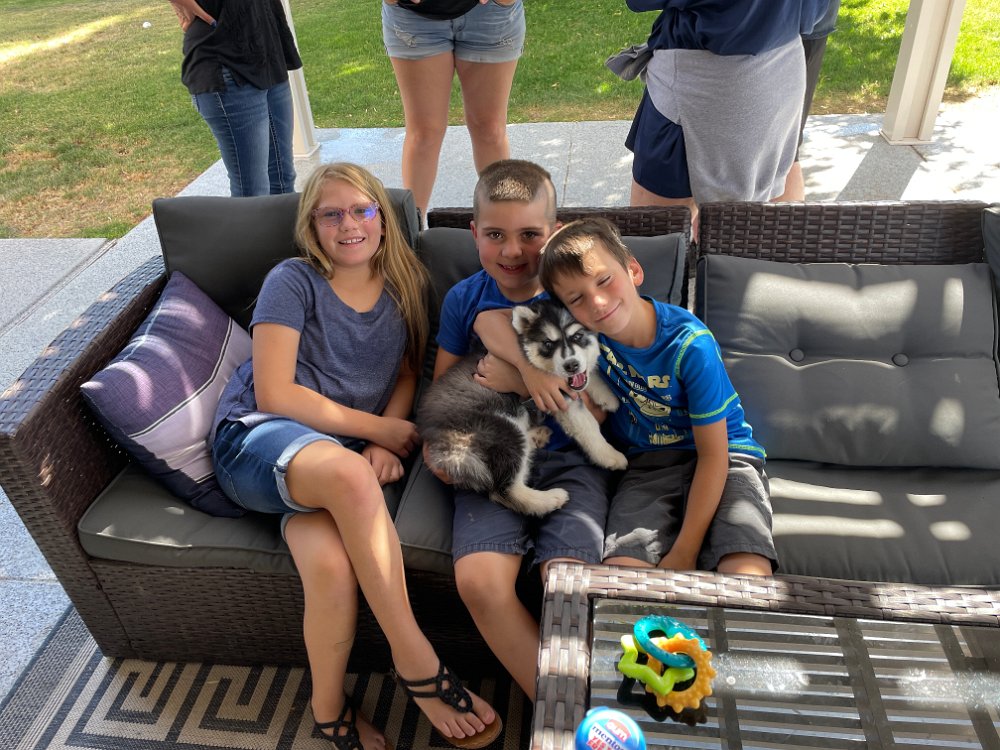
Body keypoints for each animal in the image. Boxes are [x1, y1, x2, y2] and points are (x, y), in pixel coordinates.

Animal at [417, 299, 628, 516]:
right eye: (548, 344)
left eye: (578, 336)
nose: (571, 365)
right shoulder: (560, 397)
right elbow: (589, 427)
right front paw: (610, 456)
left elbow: (589, 375)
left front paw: (607, 395)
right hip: (502, 430)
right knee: (506, 490)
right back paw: (549, 498)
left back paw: (537, 436)